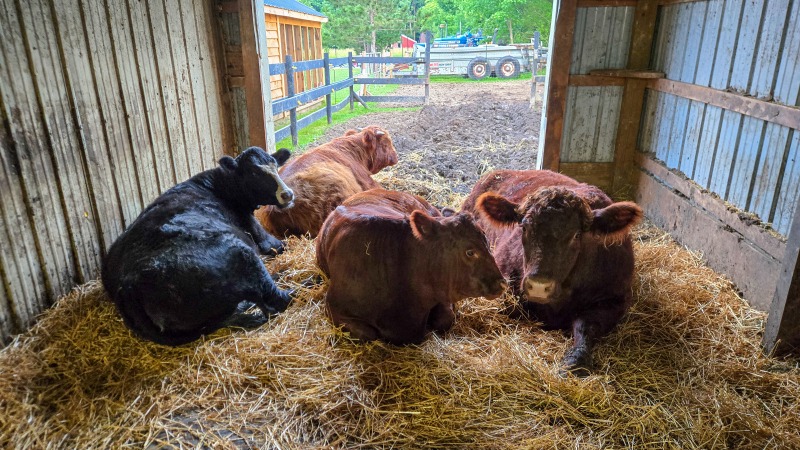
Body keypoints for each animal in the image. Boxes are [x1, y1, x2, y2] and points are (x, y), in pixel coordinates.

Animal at [102, 147, 296, 346]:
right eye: (254, 172)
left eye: (275, 165)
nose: (287, 194)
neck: (221, 186)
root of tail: (128, 286)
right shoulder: (265, 239)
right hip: (241, 253)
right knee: (277, 300)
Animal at [316, 188, 507, 345]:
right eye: (470, 252)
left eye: (488, 242)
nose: (502, 283)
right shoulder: (334, 308)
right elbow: (367, 334)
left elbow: (445, 319)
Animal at [462, 170, 643, 375]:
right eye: (524, 227)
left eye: (576, 235)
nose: (538, 286)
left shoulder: (615, 300)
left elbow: (585, 327)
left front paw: (576, 359)